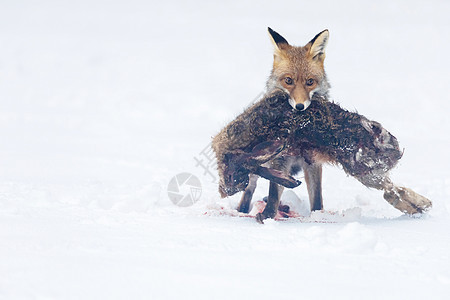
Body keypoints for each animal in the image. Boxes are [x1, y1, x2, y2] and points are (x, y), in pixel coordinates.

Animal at [237, 27, 332, 220]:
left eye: (310, 82)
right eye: (288, 81)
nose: (300, 106)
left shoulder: (313, 161)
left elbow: (317, 197)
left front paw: (318, 216)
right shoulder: (280, 159)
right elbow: (274, 192)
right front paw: (267, 216)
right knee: (249, 188)